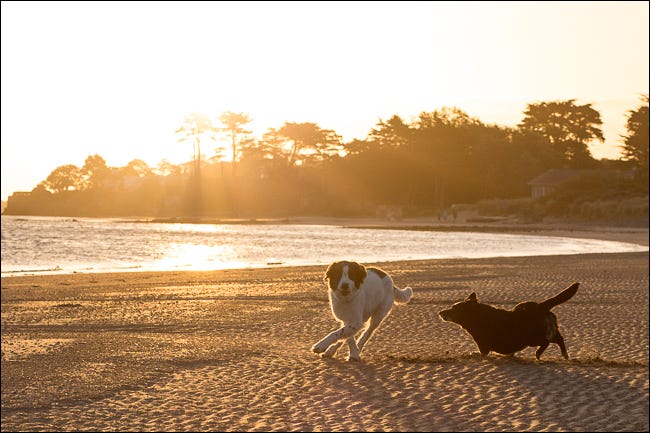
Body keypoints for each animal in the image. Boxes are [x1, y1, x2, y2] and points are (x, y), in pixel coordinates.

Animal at [436, 280, 576, 358]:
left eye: (454, 308)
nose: (440, 312)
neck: (477, 316)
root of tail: (541, 306)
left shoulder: (483, 346)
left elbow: (481, 353)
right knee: (559, 338)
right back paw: (564, 355)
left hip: (532, 338)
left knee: (548, 342)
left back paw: (539, 353)